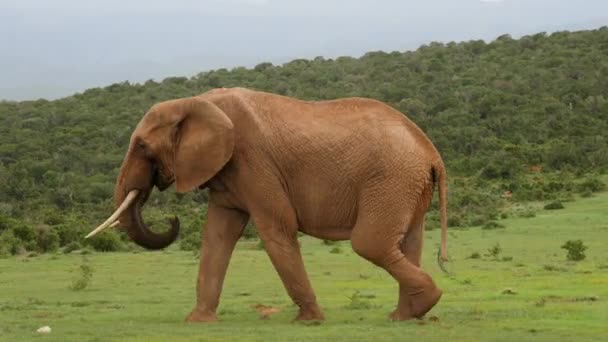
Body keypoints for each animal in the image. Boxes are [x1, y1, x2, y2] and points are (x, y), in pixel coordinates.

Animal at [86, 87, 446, 322]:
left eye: (142, 146)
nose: (172, 218)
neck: (196, 101)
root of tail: (431, 152)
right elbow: (217, 235)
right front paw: (197, 321)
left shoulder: (253, 162)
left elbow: (276, 229)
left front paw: (309, 321)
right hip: (407, 183)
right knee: (408, 242)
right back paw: (407, 315)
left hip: (391, 178)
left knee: (369, 243)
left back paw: (422, 304)